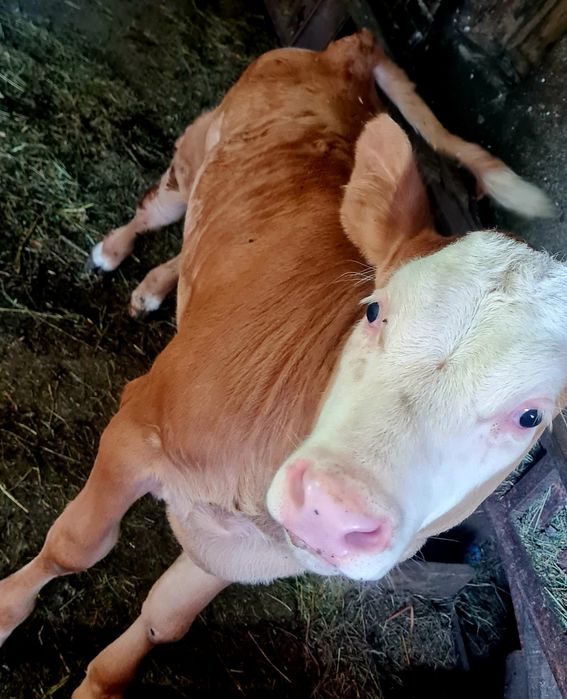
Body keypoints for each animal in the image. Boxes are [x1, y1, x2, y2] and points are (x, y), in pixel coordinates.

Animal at [1, 30, 565, 698]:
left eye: (531, 417)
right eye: (373, 310)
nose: (331, 508)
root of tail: (347, 50)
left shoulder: (247, 551)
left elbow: (165, 618)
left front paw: (103, 681)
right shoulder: (136, 427)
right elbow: (74, 546)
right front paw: (5, 610)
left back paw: (158, 286)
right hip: (196, 146)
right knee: (159, 205)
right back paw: (113, 251)